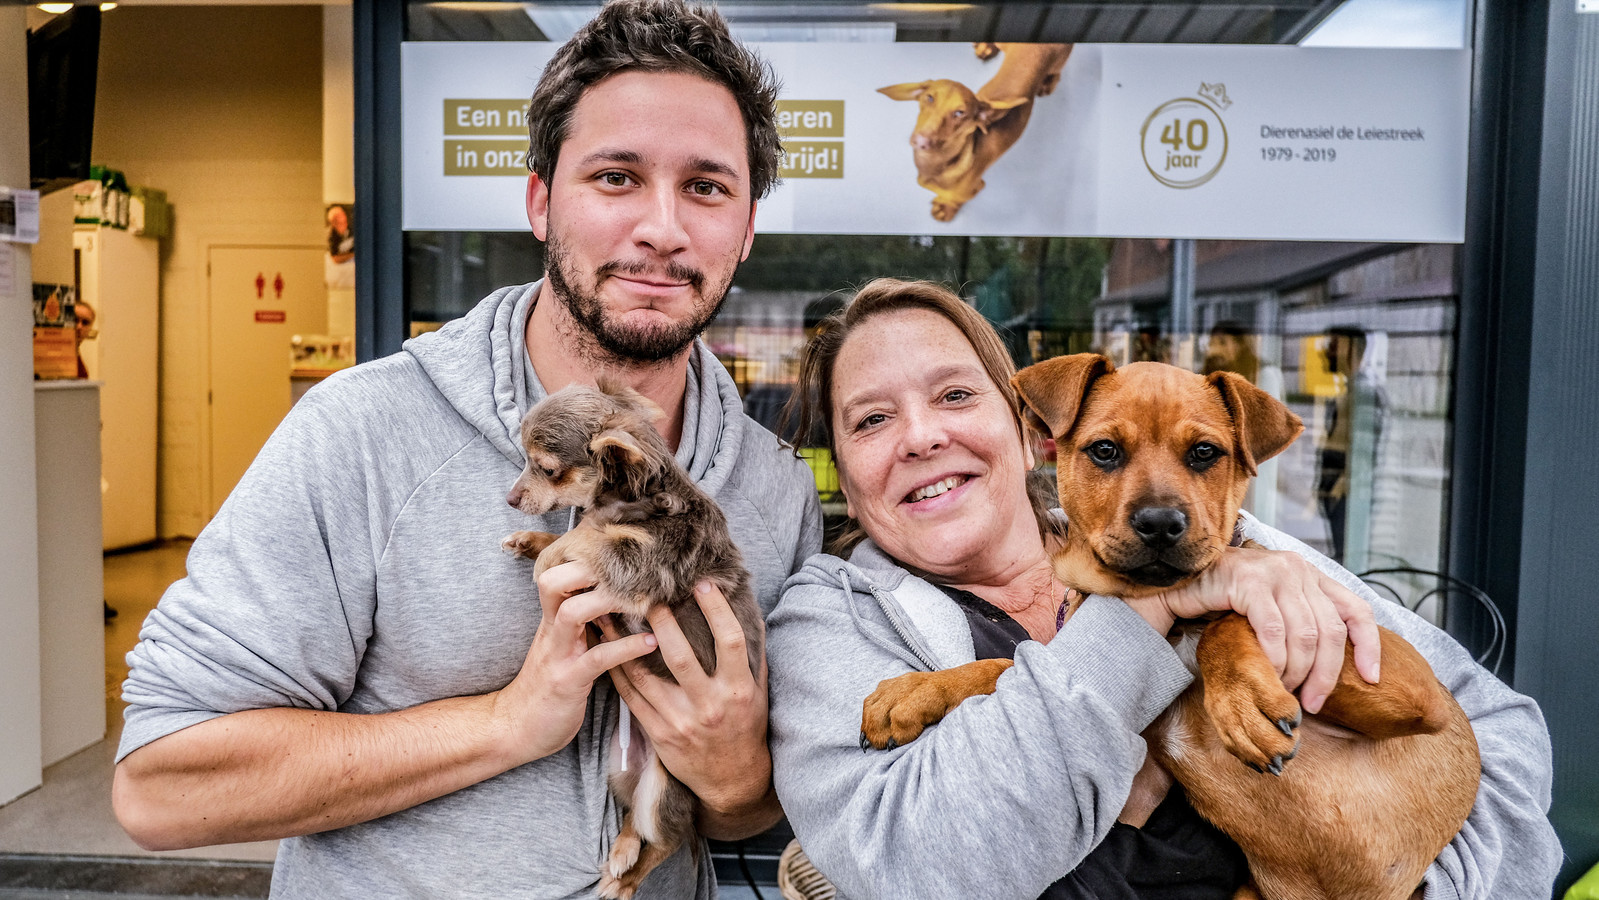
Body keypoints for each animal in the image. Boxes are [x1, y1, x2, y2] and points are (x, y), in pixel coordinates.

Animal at [508, 378, 764, 900]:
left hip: (663, 787)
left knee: (667, 838)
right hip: (620, 770)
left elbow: (590, 539)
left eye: (546, 469)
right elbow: (582, 533)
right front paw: (532, 541)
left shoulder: (646, 560)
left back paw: (623, 882)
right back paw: (622, 850)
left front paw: (547, 557)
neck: (630, 503)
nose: (510, 497)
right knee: (634, 822)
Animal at [869, 356, 1477, 895]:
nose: (1161, 523)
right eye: (1105, 451)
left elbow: (1232, 614)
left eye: (1205, 453)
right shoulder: (1135, 792)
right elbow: (1005, 665)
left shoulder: (1405, 680)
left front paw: (1243, 699)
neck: (1168, 623)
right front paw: (914, 690)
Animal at [882, 42, 1068, 223]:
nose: (921, 141)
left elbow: (954, 200)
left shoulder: (975, 188)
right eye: (929, 98)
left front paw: (946, 209)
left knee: (1057, 70)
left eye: (960, 113)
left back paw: (1048, 82)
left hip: (1058, 62)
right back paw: (985, 46)